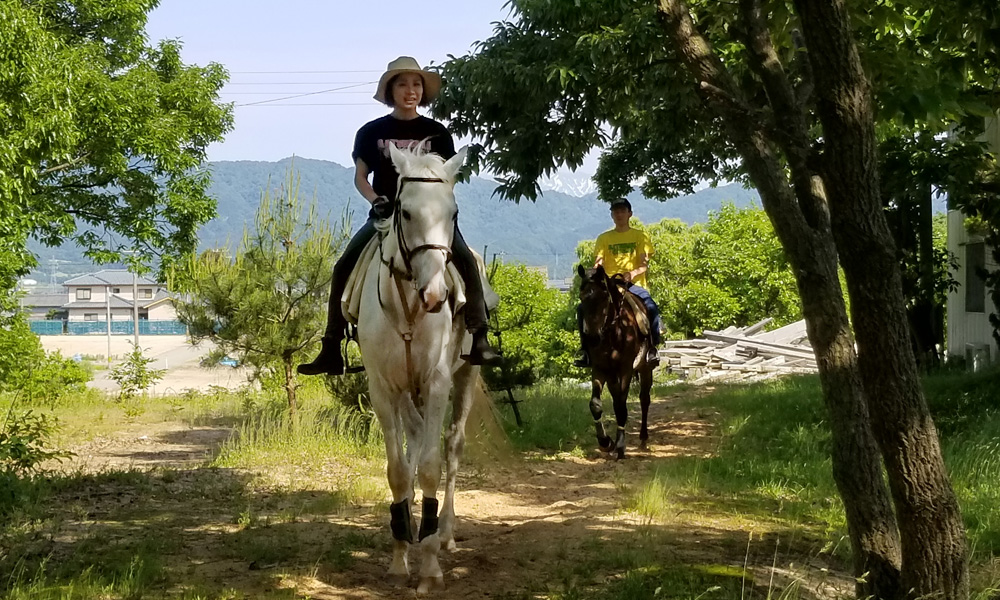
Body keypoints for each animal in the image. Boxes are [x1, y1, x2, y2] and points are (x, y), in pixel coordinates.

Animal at [358, 142, 482, 596]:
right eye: (405, 212)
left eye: (453, 213)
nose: (436, 295)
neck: (409, 307)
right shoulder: (382, 387)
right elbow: (398, 470)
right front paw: (400, 555)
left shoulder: (437, 383)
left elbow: (430, 465)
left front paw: (429, 566)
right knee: (413, 437)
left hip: (466, 377)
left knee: (452, 446)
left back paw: (443, 532)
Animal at [576, 264, 652, 458]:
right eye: (581, 297)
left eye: (604, 297)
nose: (593, 338)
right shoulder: (600, 369)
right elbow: (596, 404)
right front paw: (605, 442)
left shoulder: (626, 369)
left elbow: (621, 406)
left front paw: (620, 446)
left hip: (645, 368)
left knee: (644, 399)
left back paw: (643, 438)